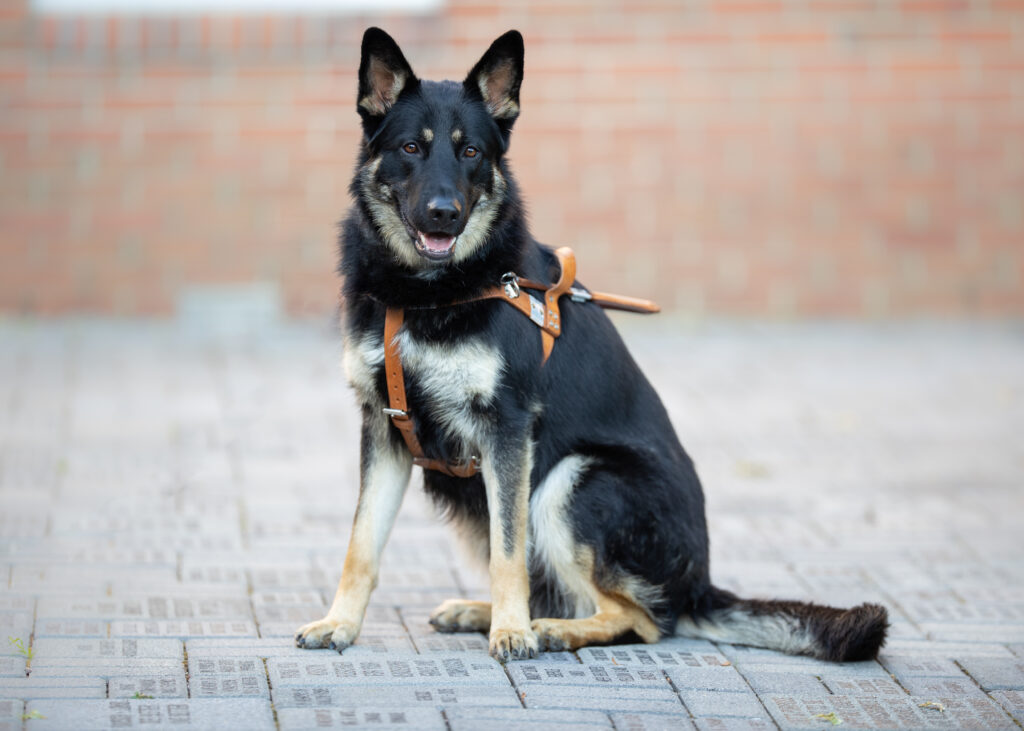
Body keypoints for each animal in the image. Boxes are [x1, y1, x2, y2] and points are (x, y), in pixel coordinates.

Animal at [294, 27, 888, 659]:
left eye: (471, 152)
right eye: (411, 148)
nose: (444, 215)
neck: (429, 294)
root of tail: (698, 589)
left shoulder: (507, 433)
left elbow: (509, 554)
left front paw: (512, 632)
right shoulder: (384, 429)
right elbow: (361, 545)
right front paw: (340, 623)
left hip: (571, 480)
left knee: (638, 617)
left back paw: (547, 628)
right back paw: (487, 613)